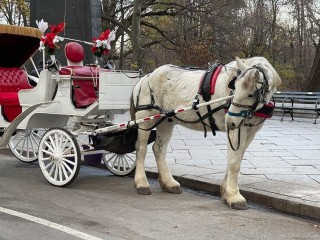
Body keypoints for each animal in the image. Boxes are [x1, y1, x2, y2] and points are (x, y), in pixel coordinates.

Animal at [130, 57, 280, 209]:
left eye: (250, 94)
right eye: (235, 88)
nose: (229, 121)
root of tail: (145, 78)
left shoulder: (250, 131)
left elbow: (236, 158)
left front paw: (226, 192)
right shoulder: (237, 129)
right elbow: (234, 163)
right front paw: (234, 196)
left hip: (166, 120)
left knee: (159, 149)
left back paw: (169, 182)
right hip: (145, 118)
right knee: (141, 149)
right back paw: (142, 183)